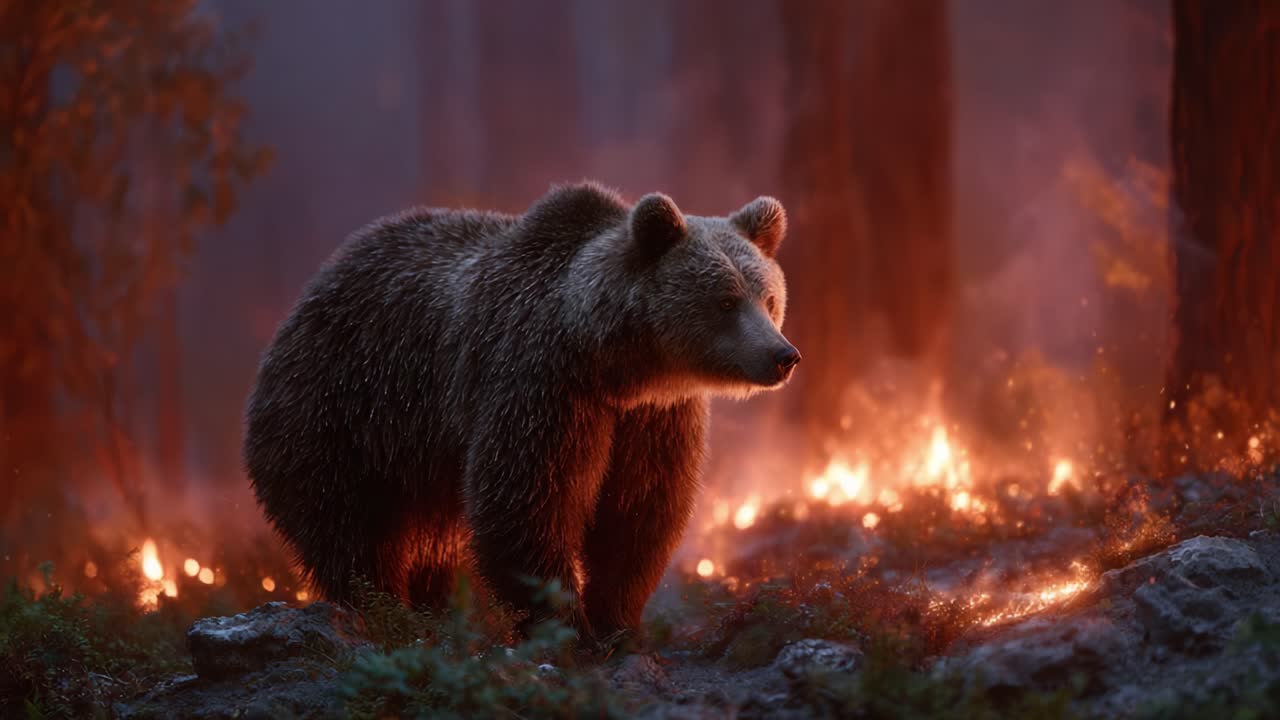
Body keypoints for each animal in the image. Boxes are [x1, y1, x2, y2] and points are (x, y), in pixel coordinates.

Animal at [243, 182, 799, 640]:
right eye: (725, 300)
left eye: (769, 298)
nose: (782, 354)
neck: (616, 361)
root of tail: (313, 288)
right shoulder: (541, 382)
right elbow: (527, 502)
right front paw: (567, 627)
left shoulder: (652, 417)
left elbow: (640, 509)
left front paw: (617, 622)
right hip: (343, 410)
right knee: (351, 530)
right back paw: (385, 611)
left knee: (432, 545)